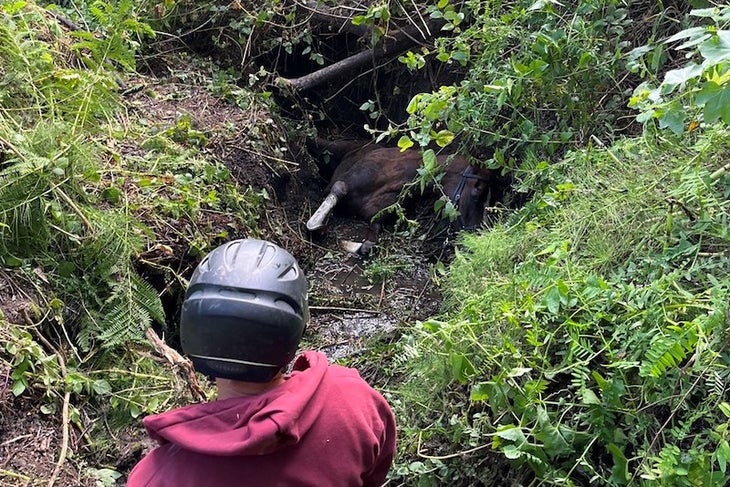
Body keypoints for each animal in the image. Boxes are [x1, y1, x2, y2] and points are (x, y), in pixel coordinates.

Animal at [304, 140, 504, 255]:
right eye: (477, 193)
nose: (476, 236)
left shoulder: (377, 213)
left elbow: (370, 242)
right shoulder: (346, 180)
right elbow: (338, 188)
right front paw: (315, 225)